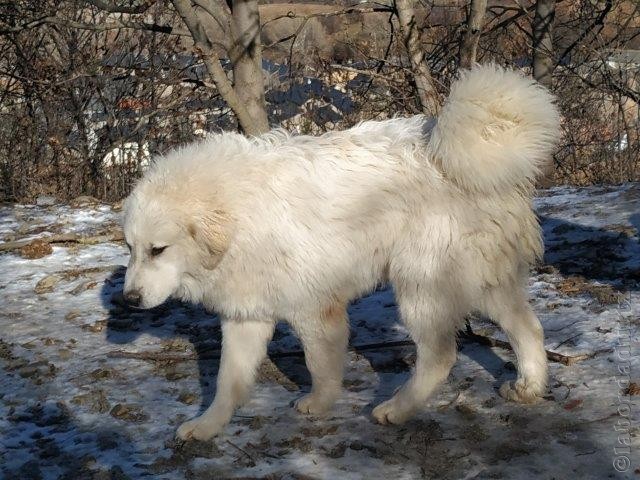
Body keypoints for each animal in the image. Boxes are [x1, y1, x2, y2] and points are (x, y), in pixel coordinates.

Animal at [121, 65, 560, 440]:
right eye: (131, 249)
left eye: (158, 250)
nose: (129, 299)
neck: (238, 218)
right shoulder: (246, 315)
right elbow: (228, 381)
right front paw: (208, 426)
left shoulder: (314, 309)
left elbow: (320, 364)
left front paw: (319, 403)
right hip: (487, 281)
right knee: (528, 328)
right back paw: (528, 387)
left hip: (421, 286)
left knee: (440, 357)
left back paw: (397, 409)